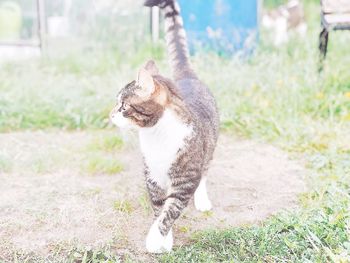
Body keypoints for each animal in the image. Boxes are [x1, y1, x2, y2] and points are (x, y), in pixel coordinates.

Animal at [109, 0, 219, 256]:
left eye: (123, 106)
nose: (110, 114)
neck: (155, 136)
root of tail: (187, 76)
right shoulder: (153, 176)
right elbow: (159, 208)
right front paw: (164, 239)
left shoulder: (186, 179)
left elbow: (171, 210)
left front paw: (155, 238)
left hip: (208, 150)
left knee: (205, 172)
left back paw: (202, 199)